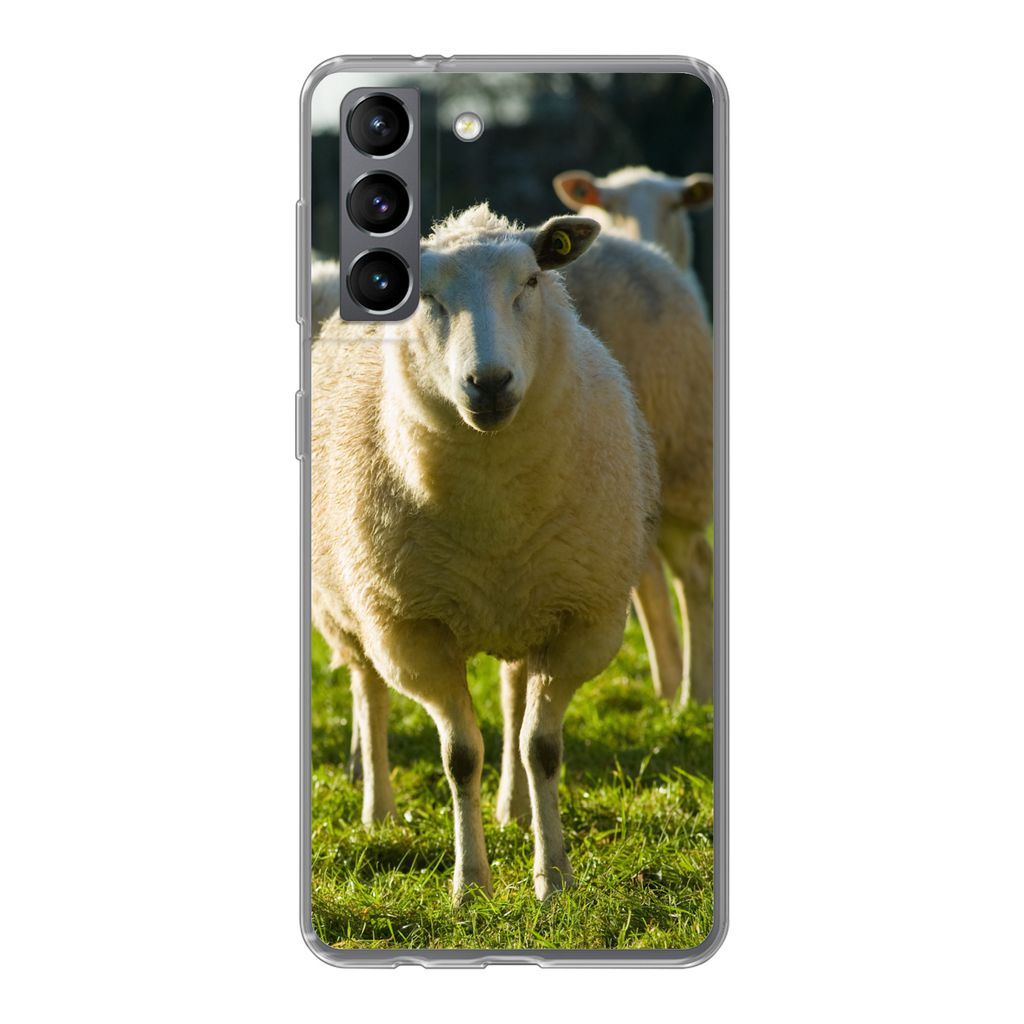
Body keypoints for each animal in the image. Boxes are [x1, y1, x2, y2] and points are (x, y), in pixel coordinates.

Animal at [312, 205, 659, 902]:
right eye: (428, 298)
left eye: (530, 281)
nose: (491, 383)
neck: (495, 508)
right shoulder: (413, 631)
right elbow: (458, 755)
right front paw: (470, 883)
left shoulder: (581, 619)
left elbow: (541, 748)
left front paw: (553, 879)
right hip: (352, 608)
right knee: (369, 692)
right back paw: (378, 810)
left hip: (526, 604)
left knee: (512, 696)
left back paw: (514, 809)